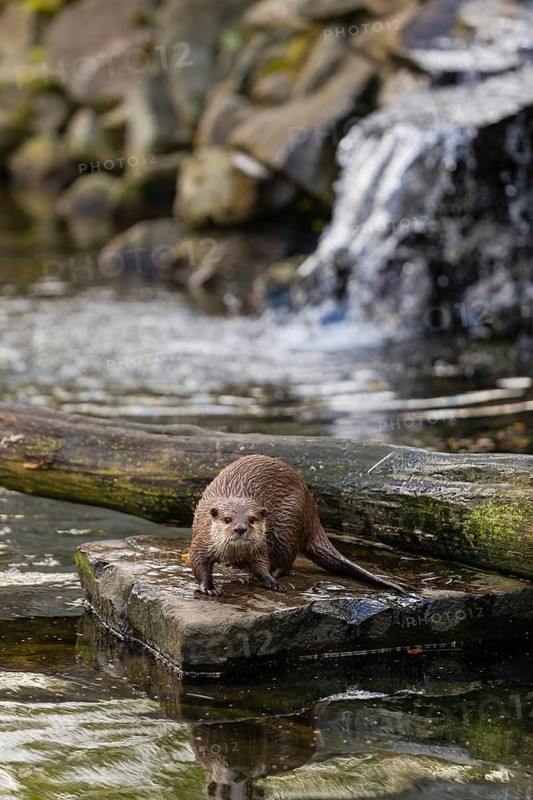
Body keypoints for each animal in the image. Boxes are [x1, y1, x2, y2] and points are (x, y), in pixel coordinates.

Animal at [190, 454, 407, 596]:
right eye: (227, 519)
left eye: (251, 519)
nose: (240, 529)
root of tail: (312, 511)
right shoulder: (201, 540)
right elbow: (199, 564)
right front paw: (209, 588)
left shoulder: (260, 547)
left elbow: (262, 564)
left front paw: (270, 580)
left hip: (287, 523)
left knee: (287, 559)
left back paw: (262, 576)